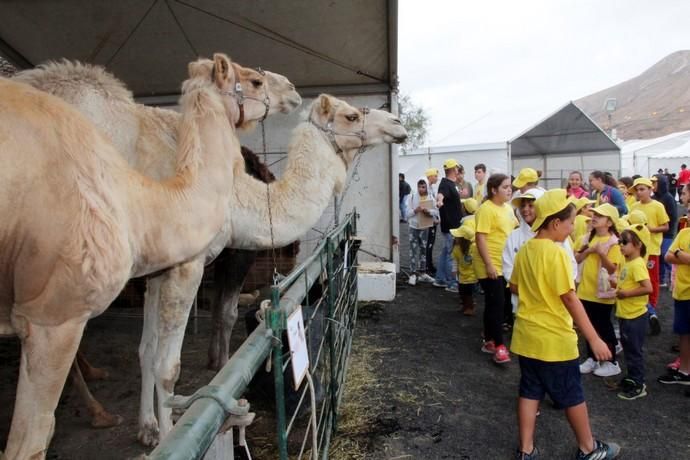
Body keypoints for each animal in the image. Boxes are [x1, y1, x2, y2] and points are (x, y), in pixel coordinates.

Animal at [0, 54, 258, 460]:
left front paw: (149, 428)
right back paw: (100, 410)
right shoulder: (54, 315)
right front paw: (165, 433)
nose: (293, 93)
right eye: (255, 80)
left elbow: (149, 349)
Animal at [16, 64, 406, 446]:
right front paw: (169, 435)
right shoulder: (189, 264)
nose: (397, 124)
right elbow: (168, 365)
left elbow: (147, 349)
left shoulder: (157, 270)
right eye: (352, 115)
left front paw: (148, 429)